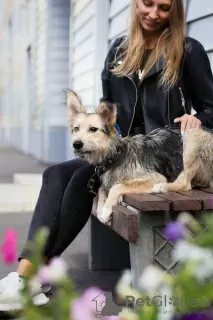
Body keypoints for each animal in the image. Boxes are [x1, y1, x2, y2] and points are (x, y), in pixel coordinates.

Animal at [67, 90, 213, 225]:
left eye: (93, 129)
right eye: (76, 129)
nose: (76, 144)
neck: (116, 155)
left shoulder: (154, 177)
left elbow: (117, 187)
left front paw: (107, 209)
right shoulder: (105, 181)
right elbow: (102, 189)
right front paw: (101, 209)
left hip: (191, 135)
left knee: (185, 184)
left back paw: (163, 187)